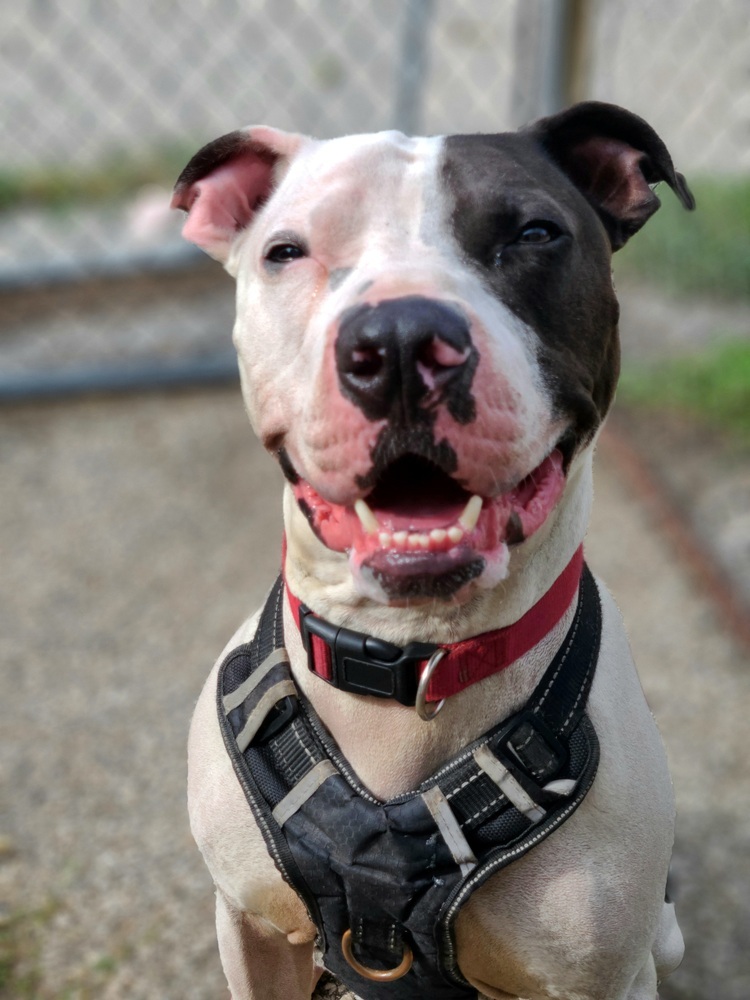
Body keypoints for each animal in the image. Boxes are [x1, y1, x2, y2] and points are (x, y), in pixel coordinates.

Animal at [173, 103, 696, 1000]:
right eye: (286, 251)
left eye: (534, 233)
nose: (400, 340)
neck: (410, 658)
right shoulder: (247, 924)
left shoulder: (603, 977)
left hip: (661, 939)